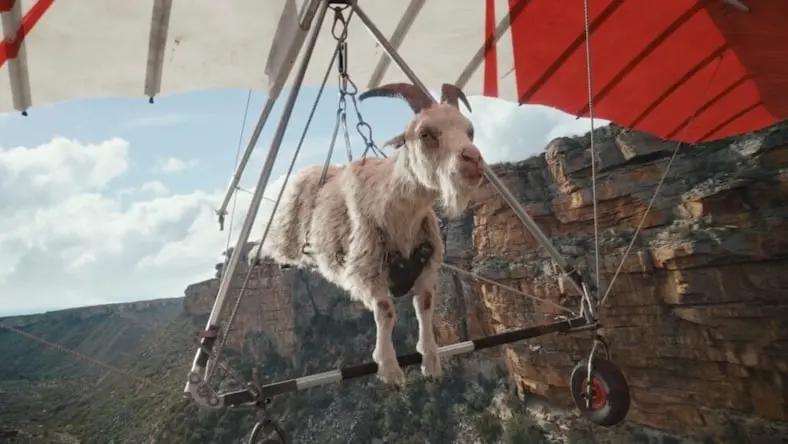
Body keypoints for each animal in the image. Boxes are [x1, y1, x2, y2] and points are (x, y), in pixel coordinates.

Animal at [248, 82, 485, 389]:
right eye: (425, 133)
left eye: (470, 131)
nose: (473, 160)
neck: (398, 213)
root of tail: (307, 170)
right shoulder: (366, 272)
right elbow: (386, 311)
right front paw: (389, 369)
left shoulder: (427, 269)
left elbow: (424, 307)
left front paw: (431, 362)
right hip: (286, 231)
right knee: (269, 245)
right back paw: (254, 255)